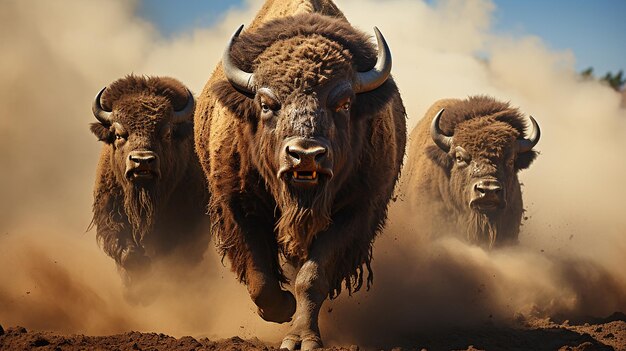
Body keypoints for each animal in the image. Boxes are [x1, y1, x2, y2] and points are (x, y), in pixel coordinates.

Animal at [195, 12, 408, 350]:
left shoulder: (354, 212)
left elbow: (312, 278)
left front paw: (300, 339)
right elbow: (260, 279)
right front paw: (283, 308)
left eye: (345, 103)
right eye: (266, 104)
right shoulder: (240, 207)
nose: (305, 154)